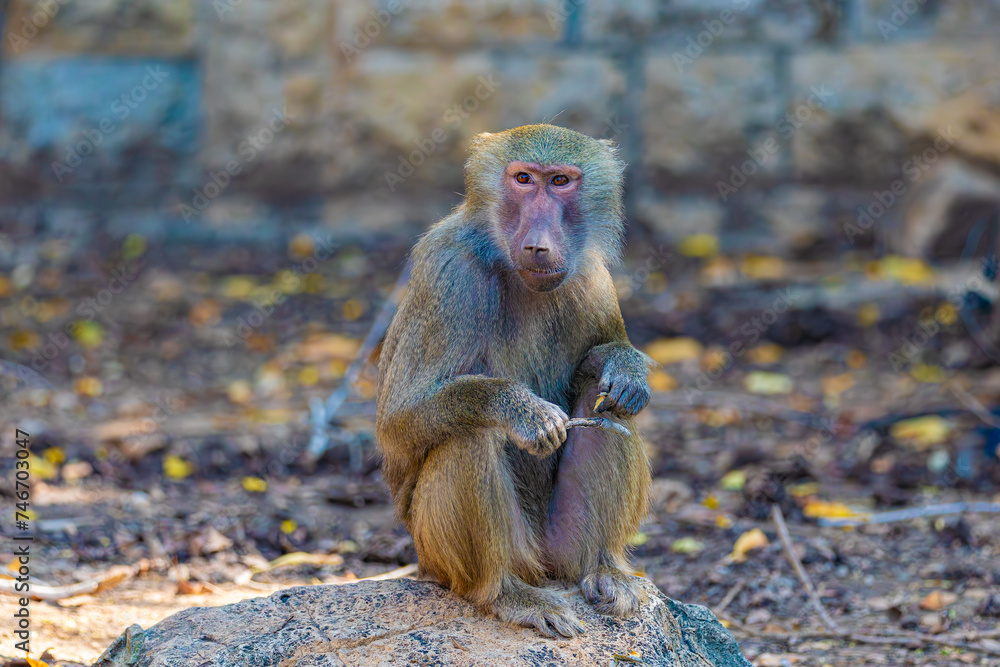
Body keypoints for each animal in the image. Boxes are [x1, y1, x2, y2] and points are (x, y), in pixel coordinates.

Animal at [376, 124, 653, 638]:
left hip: (559, 546)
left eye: (560, 181)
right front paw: (521, 411)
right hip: (439, 553)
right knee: (468, 435)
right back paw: (506, 593)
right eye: (523, 179)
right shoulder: (448, 274)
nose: (539, 245)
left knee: (608, 409)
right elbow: (398, 424)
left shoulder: (592, 277)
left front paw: (626, 370)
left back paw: (602, 568)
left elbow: (602, 369)